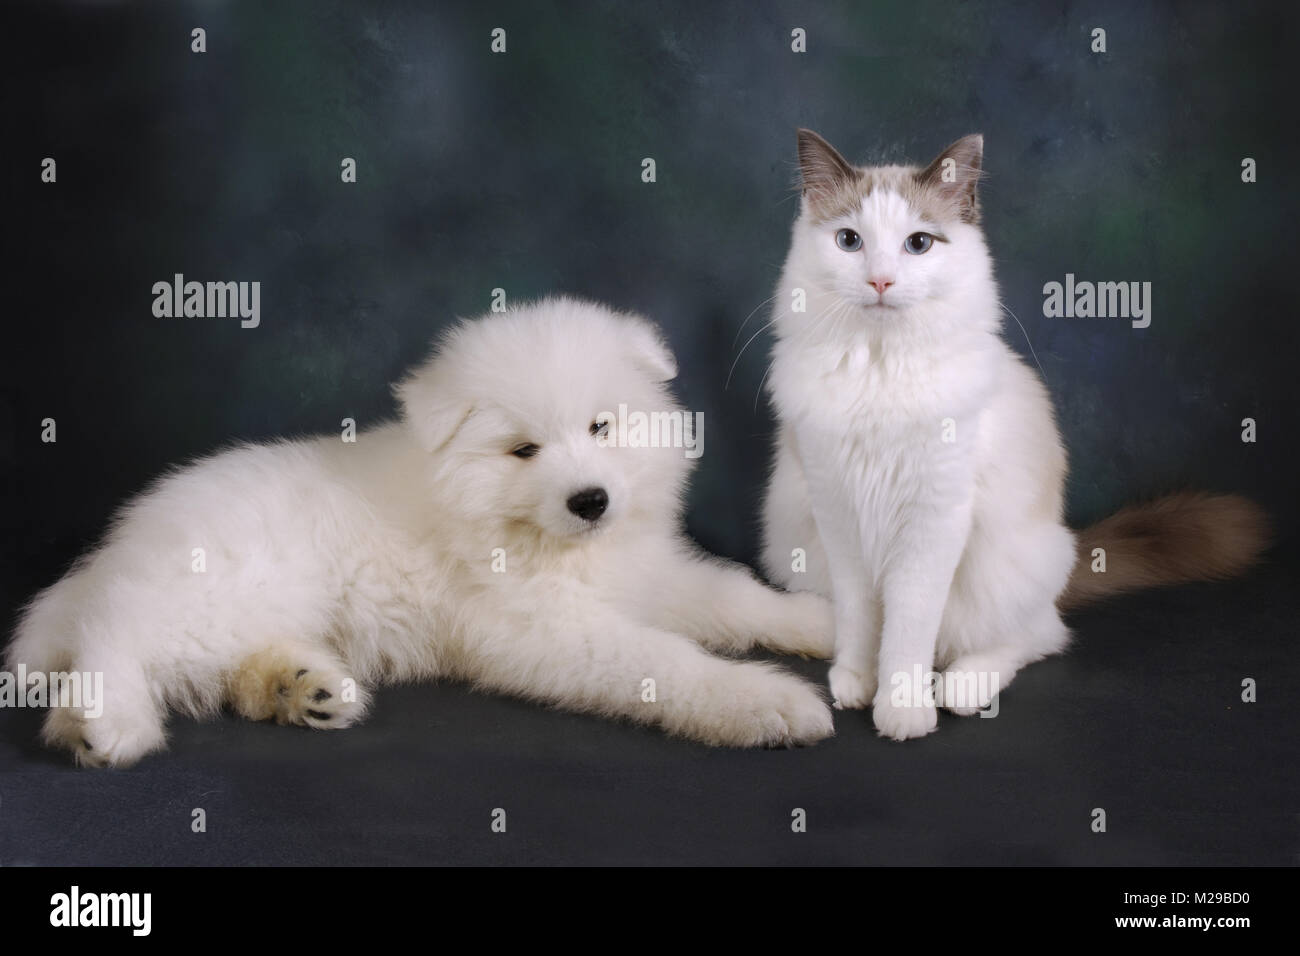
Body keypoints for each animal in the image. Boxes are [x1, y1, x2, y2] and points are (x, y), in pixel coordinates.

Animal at [7, 299, 832, 770]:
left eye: (602, 426)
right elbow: (663, 660)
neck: (544, 542)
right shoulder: (539, 628)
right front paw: (763, 702)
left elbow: (731, 594)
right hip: (215, 591)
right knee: (114, 638)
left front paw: (818, 620)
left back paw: (300, 687)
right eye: (524, 450)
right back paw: (104, 723)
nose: (591, 500)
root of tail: (123, 542)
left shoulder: (647, 574)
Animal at [759, 128, 1268, 738]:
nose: (881, 280)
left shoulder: (932, 521)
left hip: (1009, 568)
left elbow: (906, 628)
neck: (880, 369)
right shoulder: (838, 513)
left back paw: (961, 688)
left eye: (918, 244)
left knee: (1036, 637)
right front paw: (857, 683)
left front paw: (902, 709)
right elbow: (863, 618)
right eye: (849, 241)